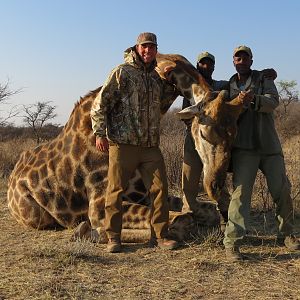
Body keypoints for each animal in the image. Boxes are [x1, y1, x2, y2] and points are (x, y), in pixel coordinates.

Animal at [6, 52, 241, 243]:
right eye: (203, 133)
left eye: (234, 137)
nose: (214, 186)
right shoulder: (99, 205)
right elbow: (182, 220)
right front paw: (89, 231)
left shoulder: (146, 194)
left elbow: (204, 212)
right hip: (36, 216)